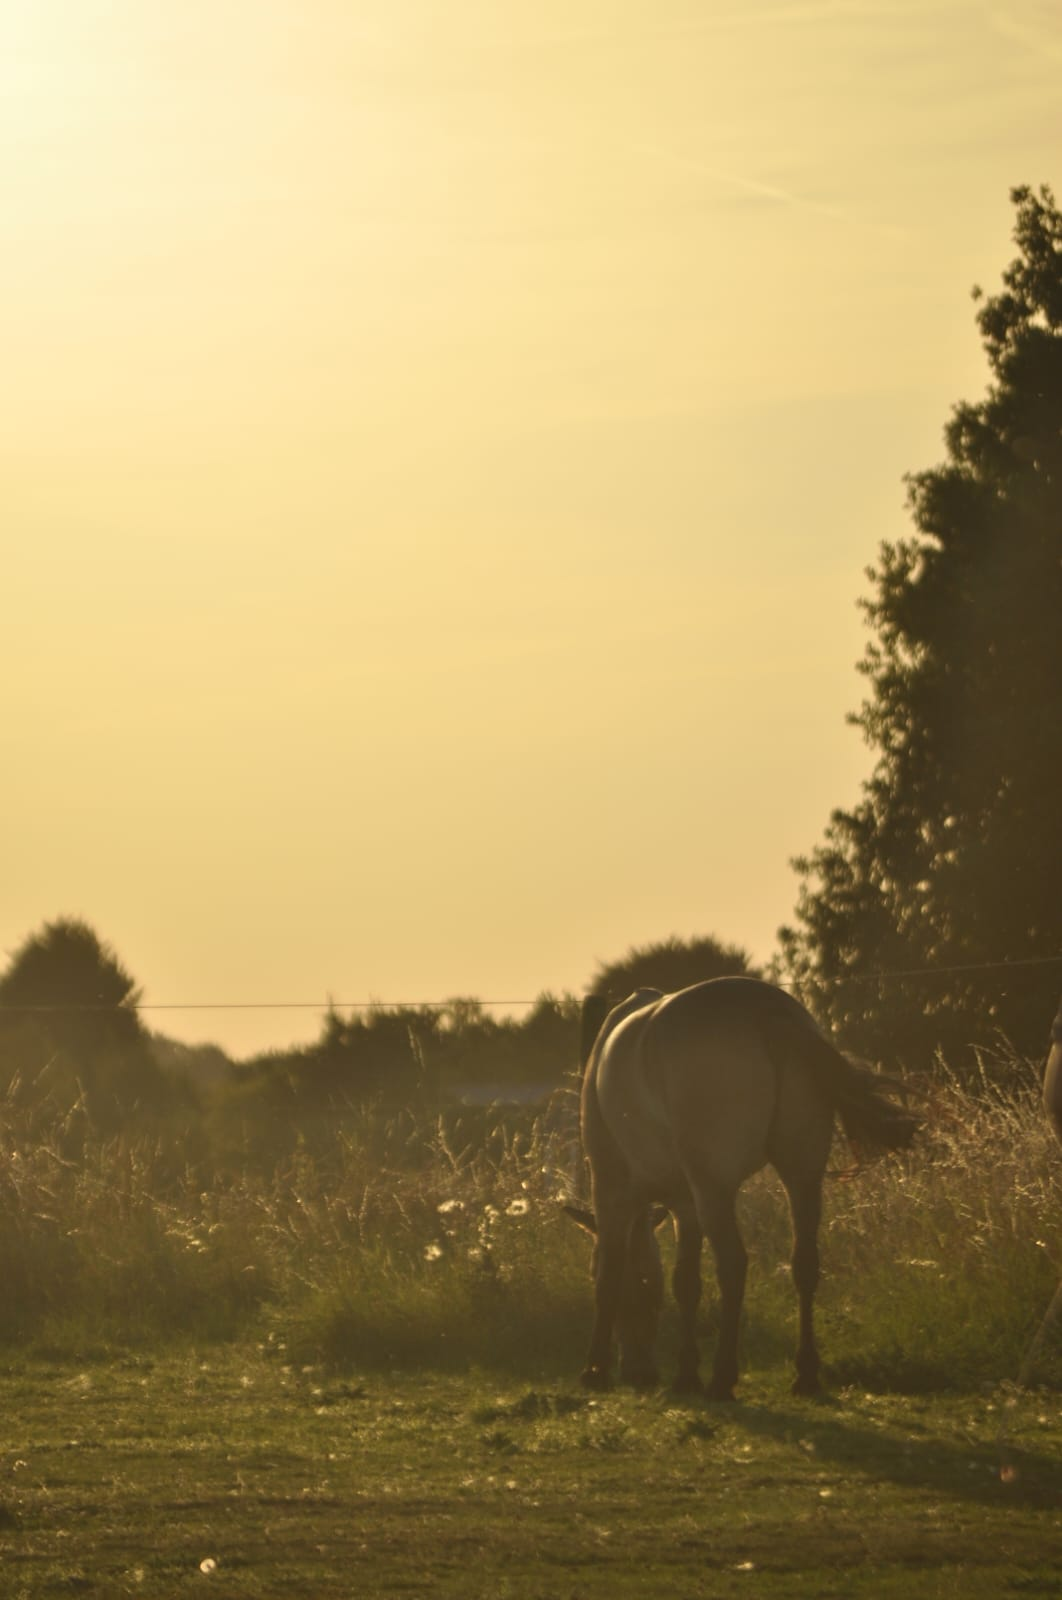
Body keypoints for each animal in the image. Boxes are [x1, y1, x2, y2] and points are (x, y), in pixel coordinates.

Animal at [566, 976, 919, 1400]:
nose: (642, 1373)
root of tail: (760, 1005)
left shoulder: (612, 1188)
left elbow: (610, 1274)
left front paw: (595, 1369)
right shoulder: (685, 1204)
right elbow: (685, 1282)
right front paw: (686, 1373)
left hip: (714, 1189)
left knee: (733, 1265)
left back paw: (723, 1377)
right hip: (802, 1175)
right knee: (805, 1263)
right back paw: (805, 1374)